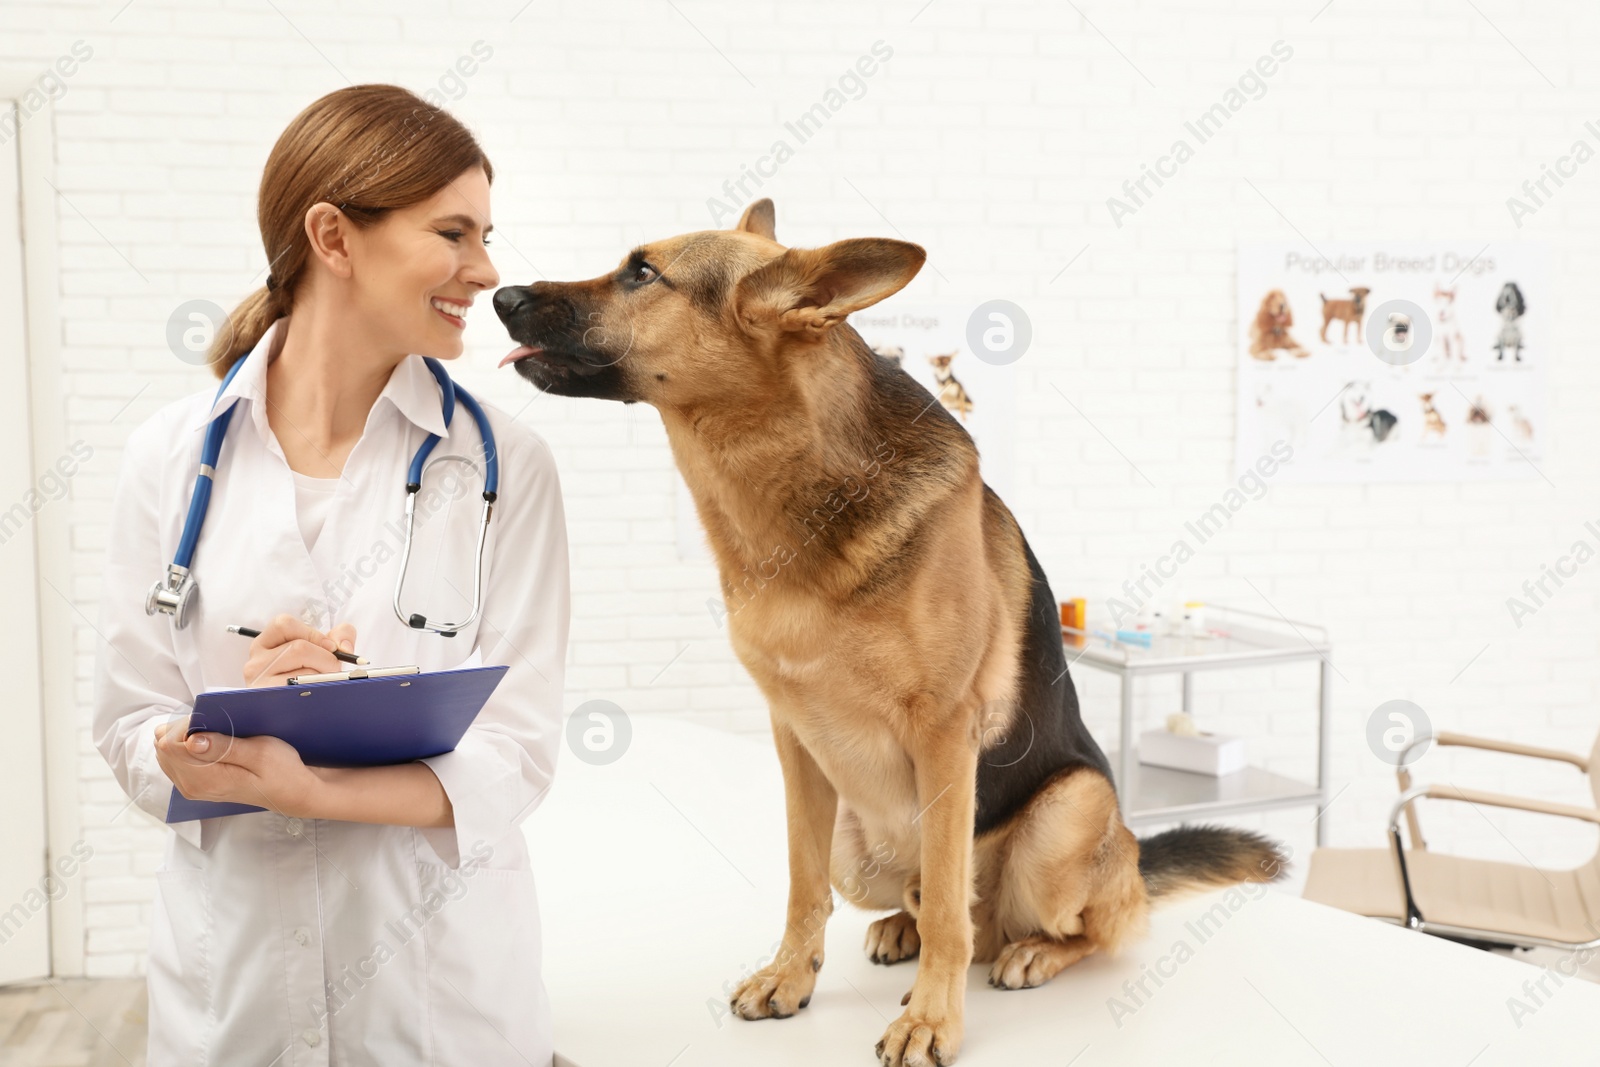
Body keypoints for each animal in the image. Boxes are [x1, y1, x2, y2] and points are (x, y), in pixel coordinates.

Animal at [486, 202, 1286, 1067]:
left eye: (642, 272)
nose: (499, 295)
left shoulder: (945, 732)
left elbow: (948, 913)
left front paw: (934, 1018)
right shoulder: (795, 741)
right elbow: (803, 882)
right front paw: (790, 975)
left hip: (1064, 816)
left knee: (1068, 925)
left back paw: (1031, 951)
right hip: (858, 843)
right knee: (931, 897)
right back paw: (902, 925)